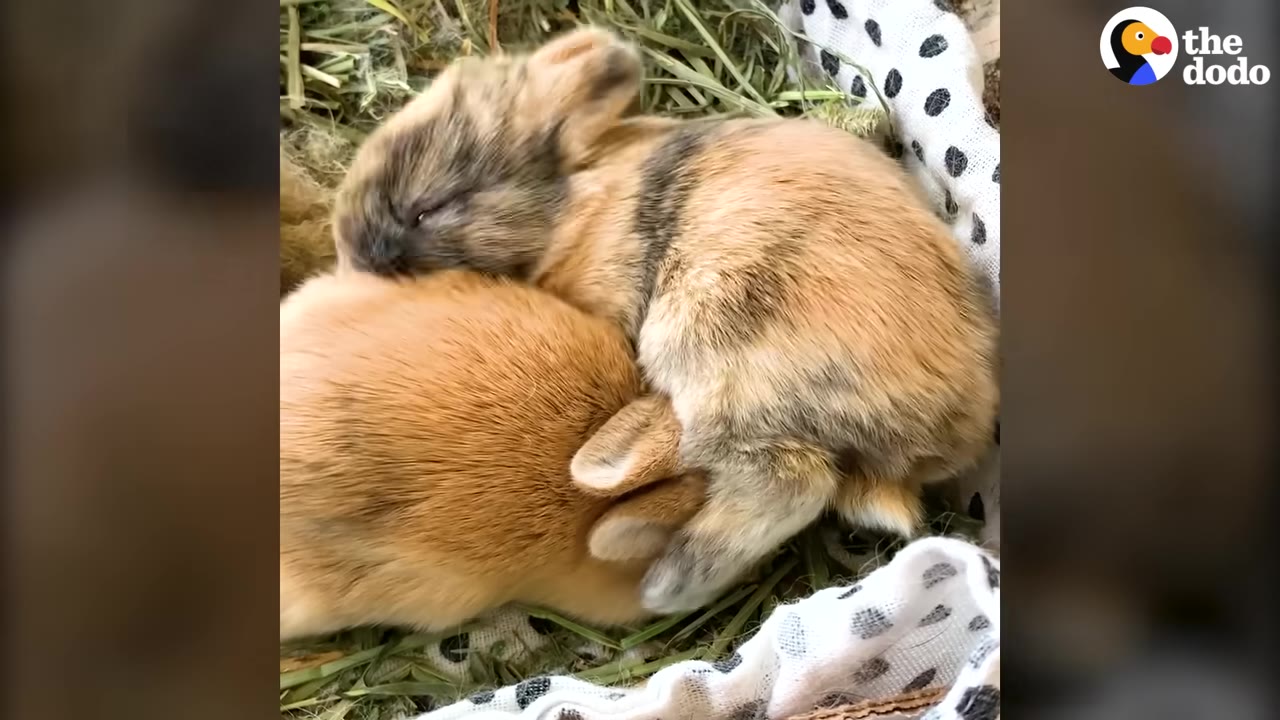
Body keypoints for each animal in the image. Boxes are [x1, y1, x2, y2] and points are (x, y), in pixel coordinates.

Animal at [328, 27, 999, 613]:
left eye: (427, 209)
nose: (355, 251)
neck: (572, 201)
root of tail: (945, 430)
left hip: (717, 360)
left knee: (789, 483)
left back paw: (669, 583)